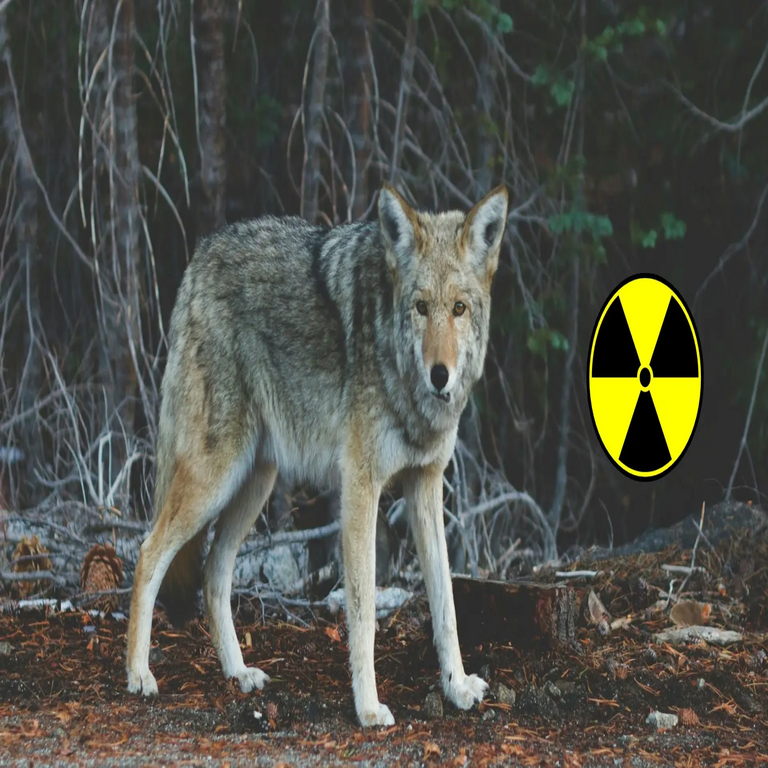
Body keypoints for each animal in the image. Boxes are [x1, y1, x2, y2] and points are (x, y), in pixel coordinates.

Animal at [125, 182, 509, 727]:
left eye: (458, 308)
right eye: (419, 307)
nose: (441, 375)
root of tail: (200, 257)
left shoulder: (426, 484)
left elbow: (446, 602)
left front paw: (456, 687)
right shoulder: (361, 487)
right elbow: (364, 611)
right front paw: (368, 708)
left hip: (255, 483)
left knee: (214, 573)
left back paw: (238, 674)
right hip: (214, 477)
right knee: (147, 552)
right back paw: (139, 675)